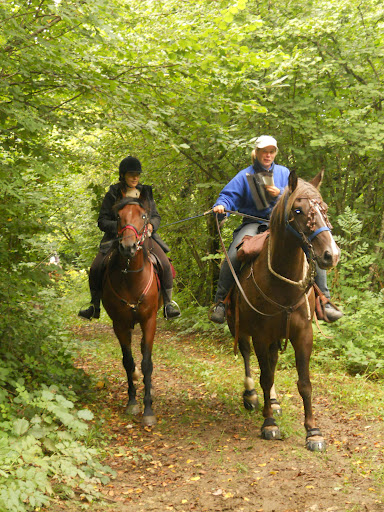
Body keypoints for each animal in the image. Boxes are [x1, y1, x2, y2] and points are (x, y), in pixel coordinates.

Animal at [101, 194, 160, 426]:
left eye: (143, 216)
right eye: (118, 217)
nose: (128, 247)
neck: (131, 276)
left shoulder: (149, 321)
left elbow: (146, 363)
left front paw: (149, 410)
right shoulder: (120, 324)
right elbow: (128, 362)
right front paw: (133, 402)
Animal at [226, 170, 340, 450]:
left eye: (323, 208)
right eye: (298, 210)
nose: (331, 255)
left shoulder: (303, 335)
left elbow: (305, 383)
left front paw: (313, 431)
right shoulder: (260, 335)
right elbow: (264, 376)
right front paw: (269, 424)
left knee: (273, 361)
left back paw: (274, 401)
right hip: (239, 327)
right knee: (247, 357)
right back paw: (251, 396)